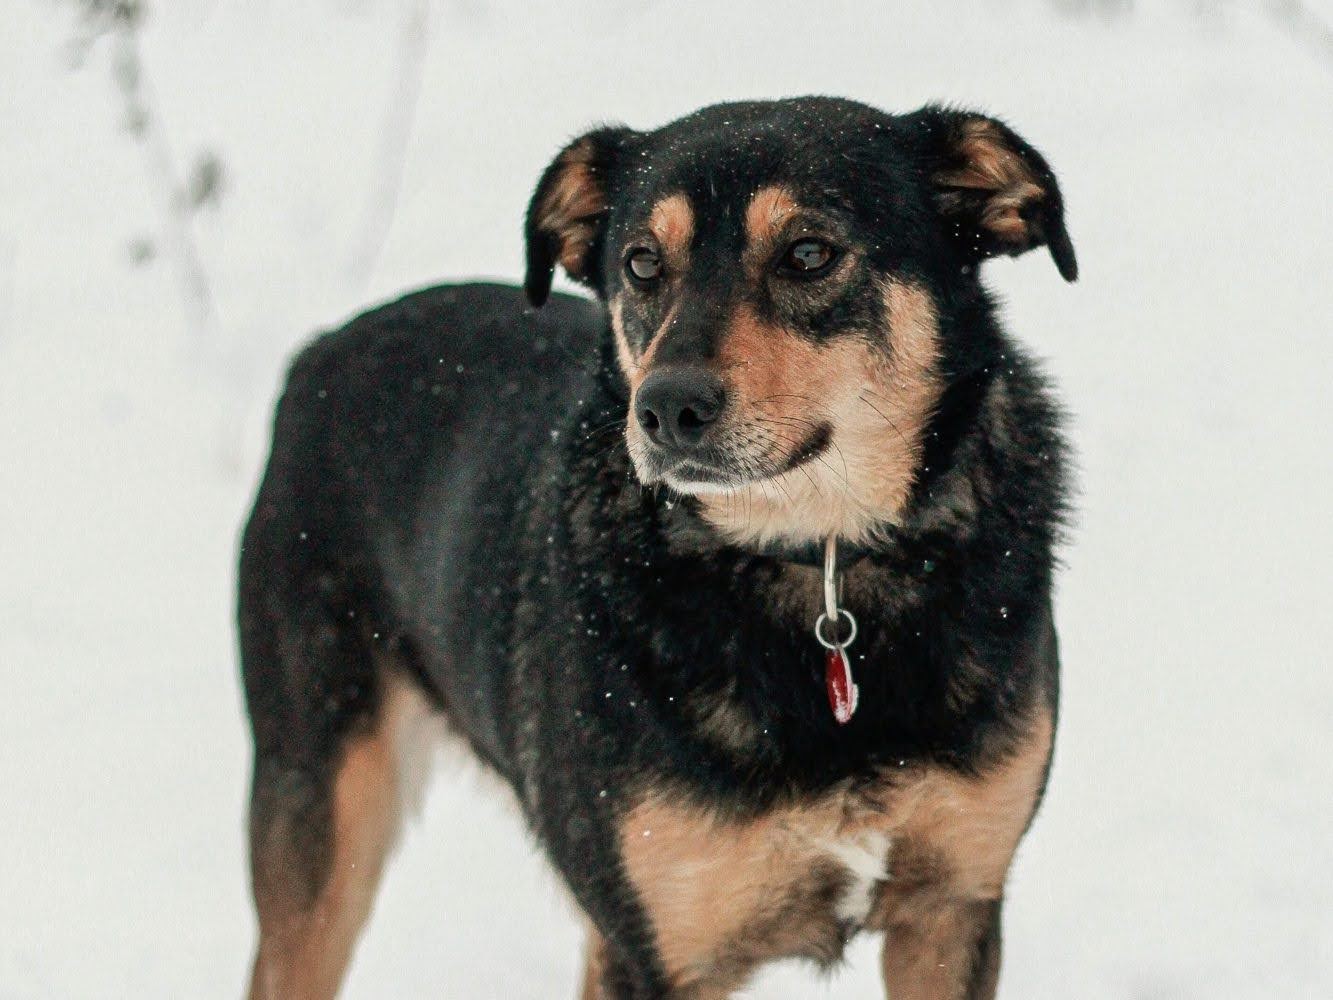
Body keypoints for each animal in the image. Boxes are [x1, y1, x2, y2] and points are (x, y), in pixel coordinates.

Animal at [237, 96, 1071, 1000]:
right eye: (640, 263)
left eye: (808, 253)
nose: (666, 409)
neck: (818, 572)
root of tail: (319, 353)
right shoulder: (654, 950)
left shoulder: (952, 909)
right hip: (320, 813)